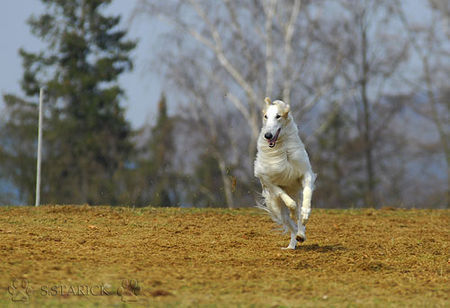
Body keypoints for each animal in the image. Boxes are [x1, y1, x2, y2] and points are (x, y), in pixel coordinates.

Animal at [253, 97, 316, 249]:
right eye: (266, 116)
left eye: (278, 116)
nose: (268, 135)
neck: (282, 151)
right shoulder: (269, 181)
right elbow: (289, 201)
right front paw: (294, 213)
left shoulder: (305, 173)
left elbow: (307, 195)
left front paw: (305, 214)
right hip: (276, 208)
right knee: (291, 226)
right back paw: (293, 243)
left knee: (298, 223)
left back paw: (301, 234)